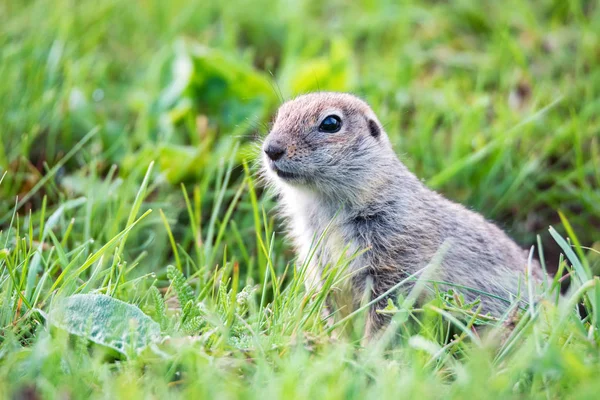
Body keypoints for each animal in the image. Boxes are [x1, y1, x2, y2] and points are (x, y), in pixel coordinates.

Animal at [262, 91, 544, 338]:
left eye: (331, 123)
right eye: (280, 115)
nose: (271, 149)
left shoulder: (395, 262)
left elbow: (384, 312)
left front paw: (368, 352)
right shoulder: (321, 265)